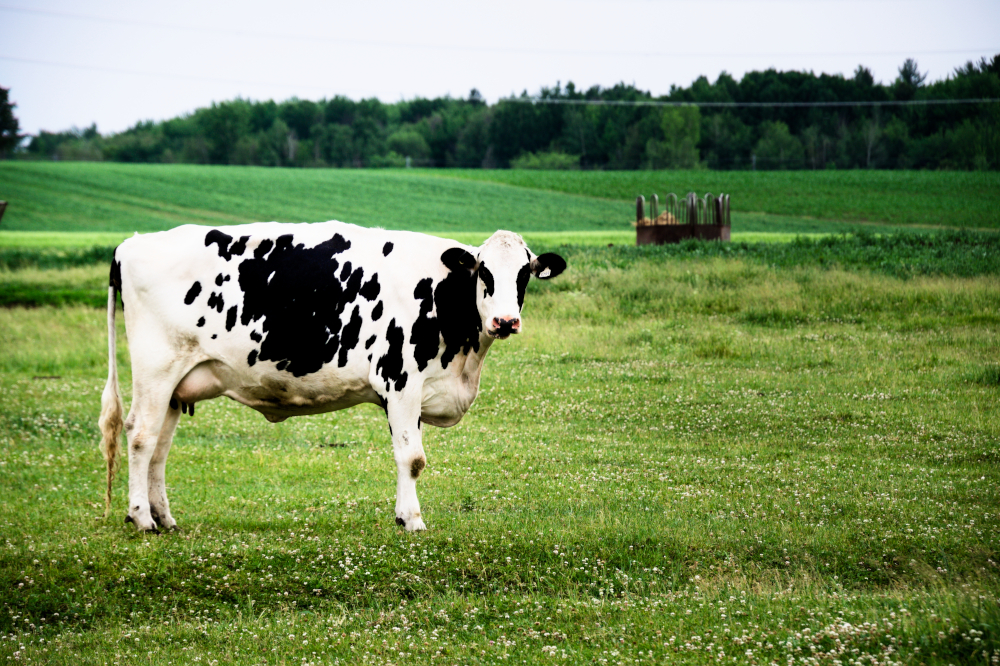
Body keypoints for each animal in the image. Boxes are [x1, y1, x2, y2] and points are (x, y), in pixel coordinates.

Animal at [98, 222, 566, 532]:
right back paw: (141, 518)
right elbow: (412, 458)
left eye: (524, 274)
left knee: (159, 447)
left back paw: (164, 517)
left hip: (177, 383)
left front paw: (403, 515)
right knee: (140, 436)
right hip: (155, 369)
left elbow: (409, 455)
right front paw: (413, 520)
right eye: (483, 271)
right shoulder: (401, 381)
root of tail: (132, 243)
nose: (506, 321)